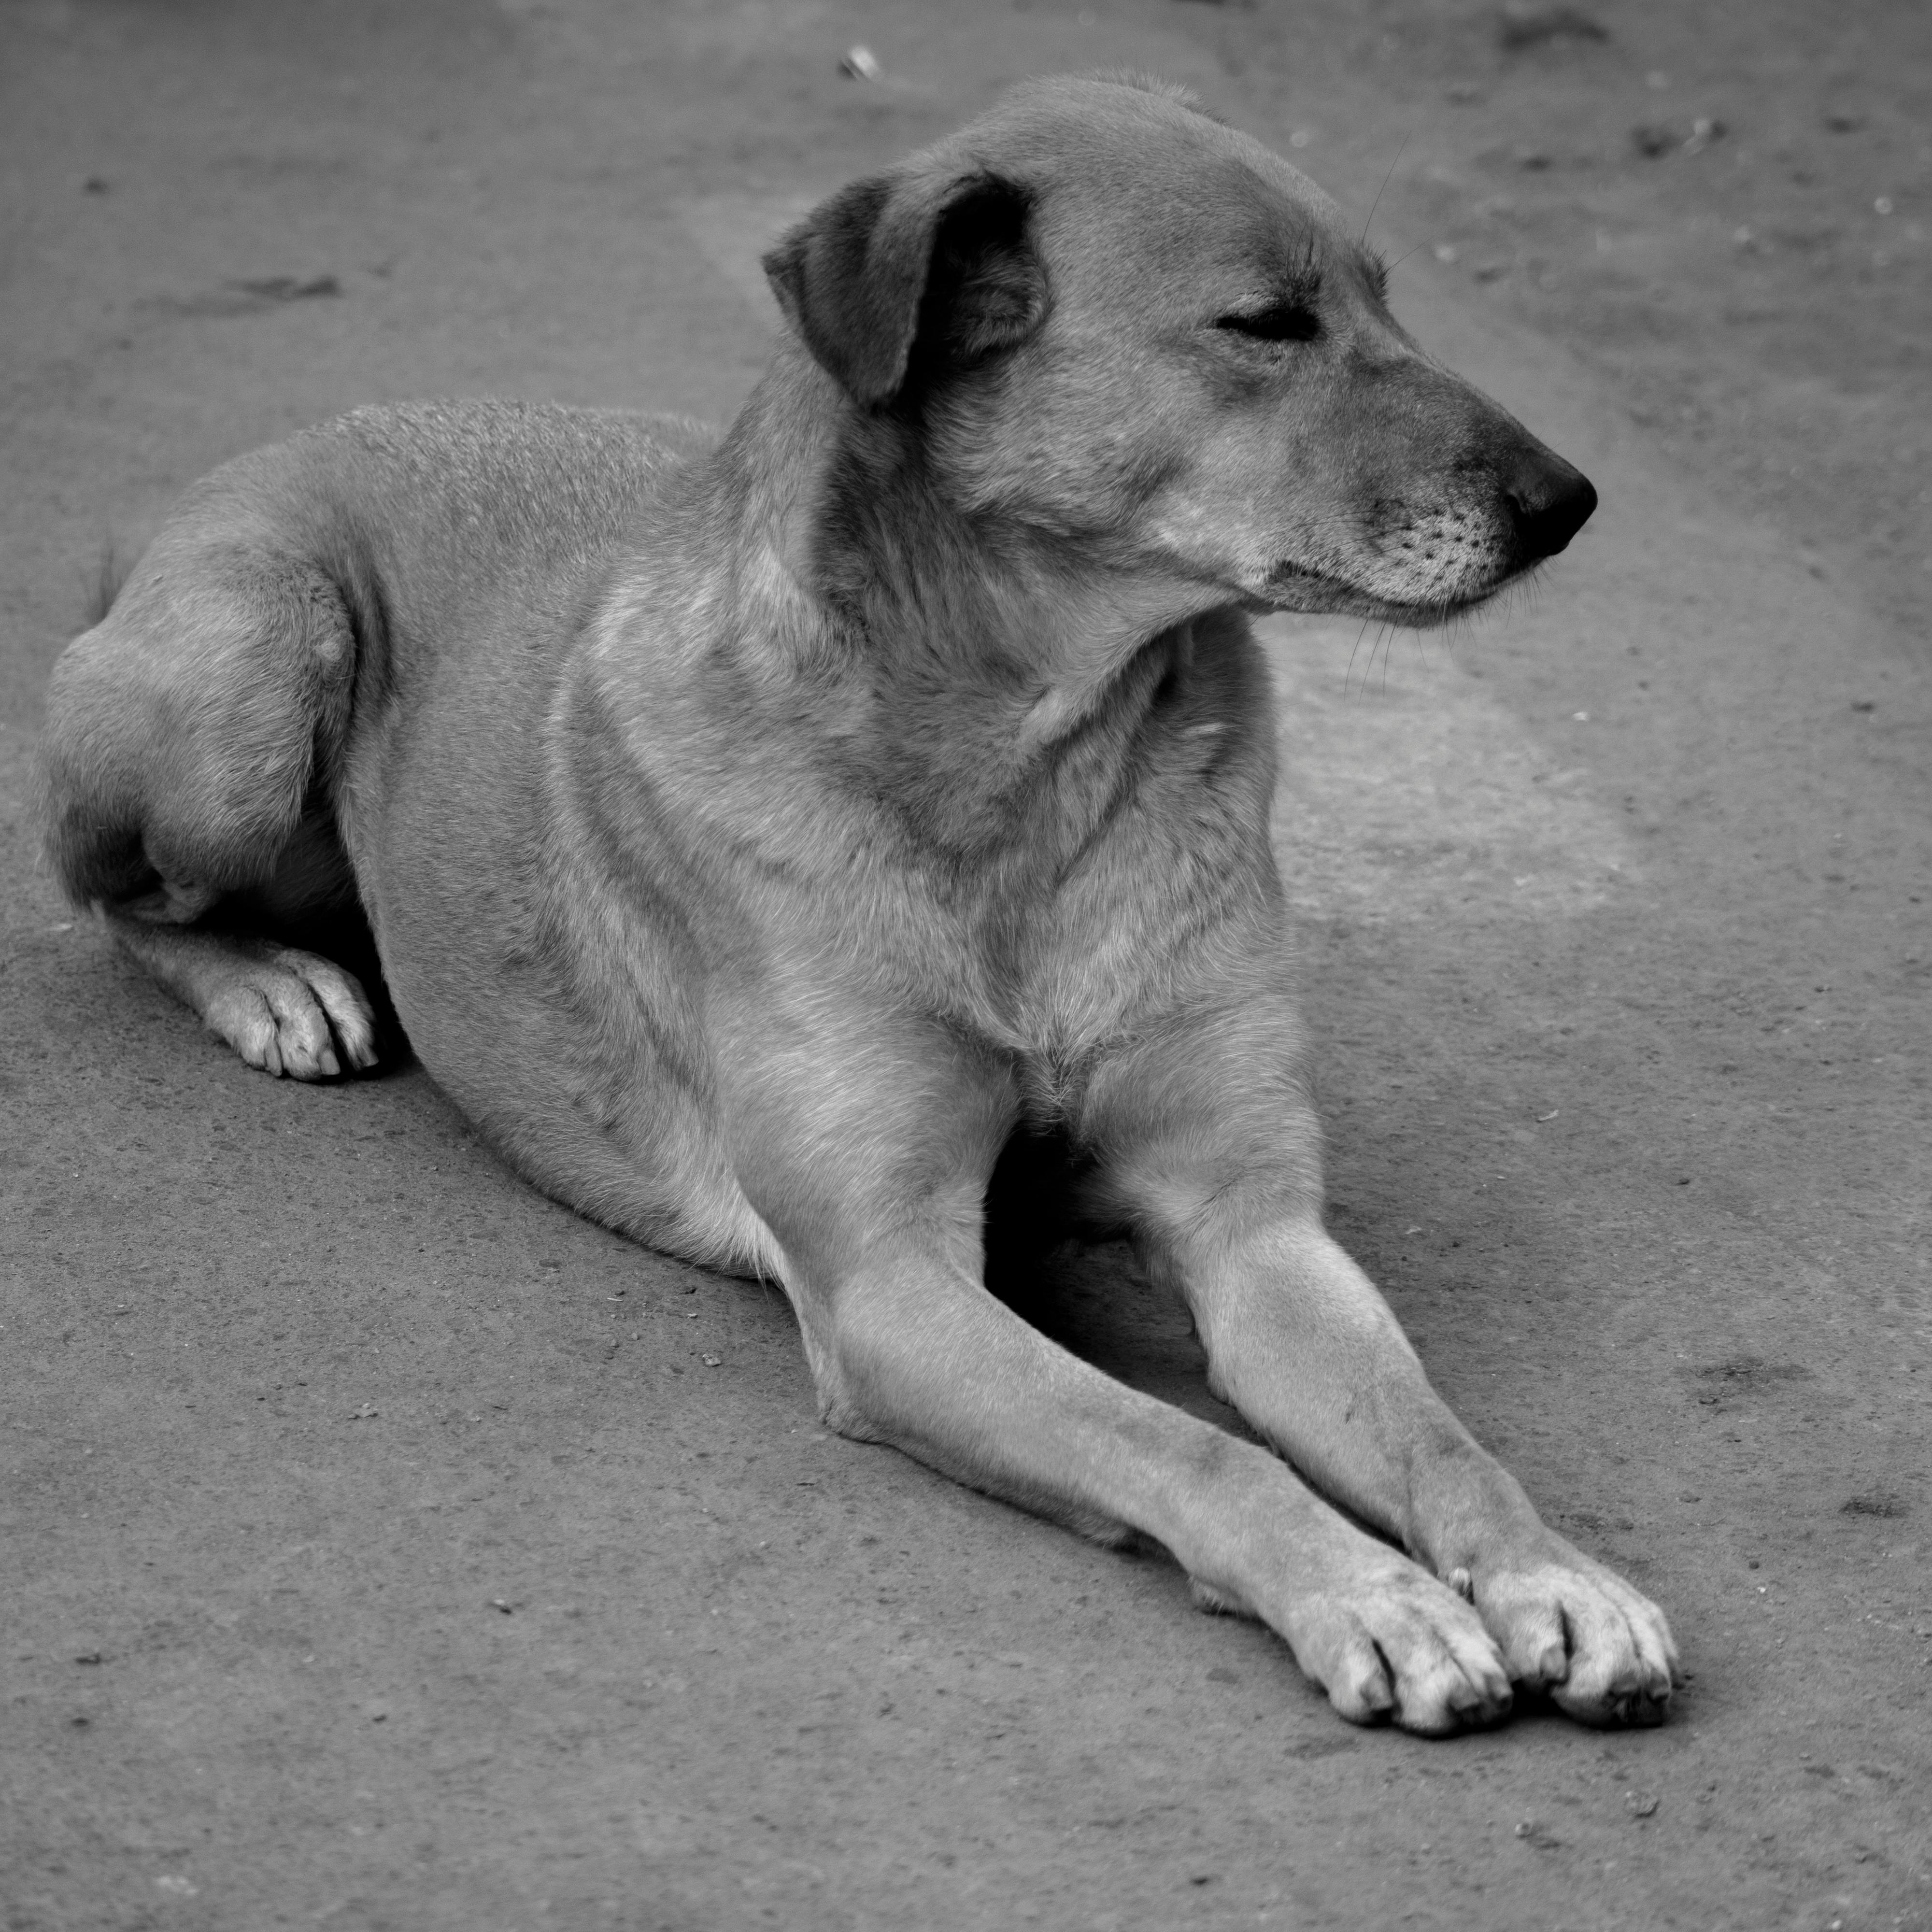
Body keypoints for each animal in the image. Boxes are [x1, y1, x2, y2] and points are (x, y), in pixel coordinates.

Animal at [45, 75, 1677, 1739]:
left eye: (1385, 300)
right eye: (1265, 323)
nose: (1569, 503)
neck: (1028, 772)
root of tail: (245, 470)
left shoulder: (1252, 1226)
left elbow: (1433, 1435)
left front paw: (1551, 1573)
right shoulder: (889, 1279)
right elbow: (1191, 1447)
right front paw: (1370, 1595)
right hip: (246, 685)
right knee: (103, 889)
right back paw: (272, 984)